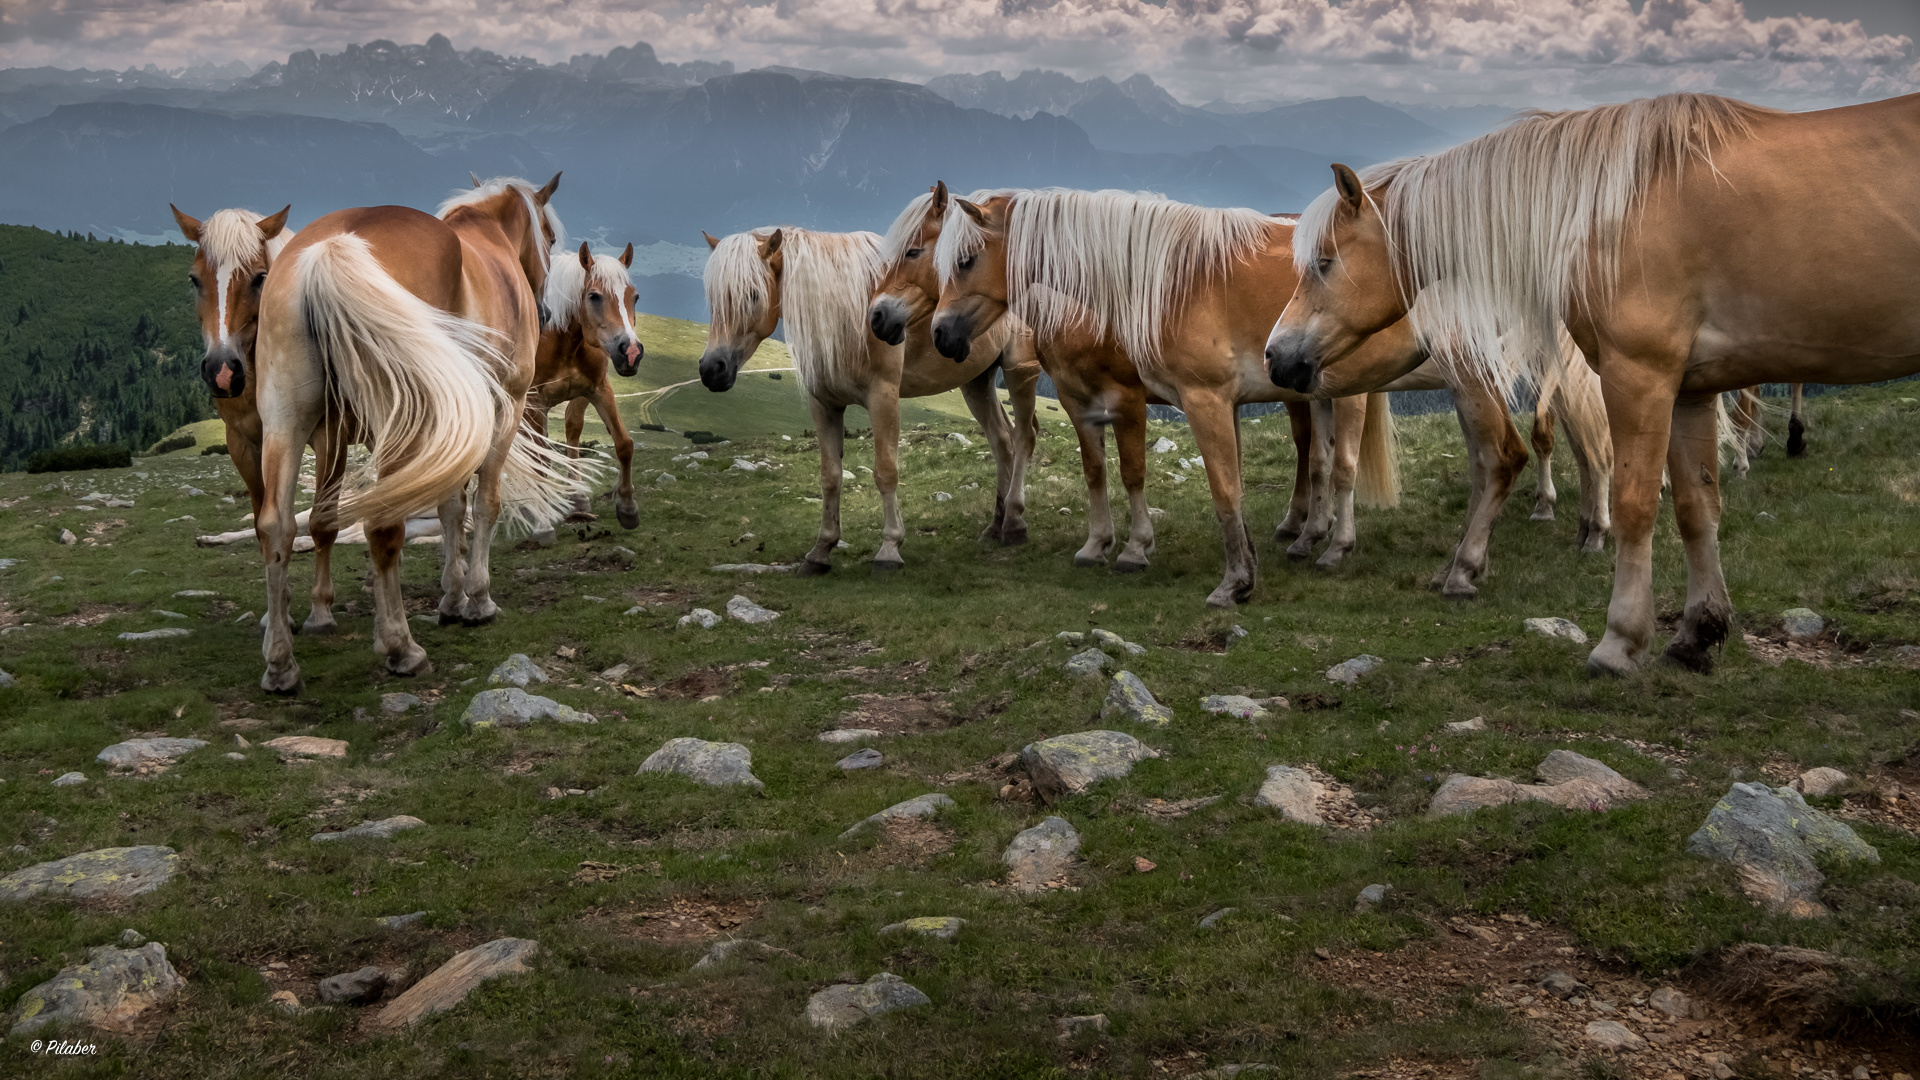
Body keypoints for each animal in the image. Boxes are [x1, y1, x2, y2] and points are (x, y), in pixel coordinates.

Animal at [255, 171, 583, 684]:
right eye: (549, 237)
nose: (547, 313)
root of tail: (331, 248)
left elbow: (451, 506)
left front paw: (452, 595)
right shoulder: (505, 406)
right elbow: (484, 504)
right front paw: (477, 599)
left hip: (288, 422)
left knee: (277, 528)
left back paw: (281, 663)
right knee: (382, 524)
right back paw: (400, 647)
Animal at [529, 239, 648, 534]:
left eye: (635, 297)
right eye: (594, 296)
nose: (631, 352)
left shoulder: (596, 390)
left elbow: (622, 443)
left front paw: (627, 507)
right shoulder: (534, 400)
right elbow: (539, 457)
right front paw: (541, 521)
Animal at [698, 217, 1044, 572]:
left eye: (752, 294)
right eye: (712, 297)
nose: (712, 369)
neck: (849, 313)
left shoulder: (883, 397)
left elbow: (885, 472)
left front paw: (889, 548)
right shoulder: (824, 405)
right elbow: (830, 476)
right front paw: (821, 550)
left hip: (1019, 371)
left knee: (1023, 438)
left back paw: (1015, 523)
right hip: (976, 381)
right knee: (1002, 441)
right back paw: (995, 526)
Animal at [925, 186, 1605, 607]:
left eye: (964, 259)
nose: (941, 334)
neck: (1165, 277)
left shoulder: (1202, 402)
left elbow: (1225, 492)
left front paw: (1236, 582)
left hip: (1477, 377)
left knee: (1508, 459)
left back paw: (1467, 570)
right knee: (1496, 463)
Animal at [1259, 90, 1920, 672]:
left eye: (1323, 262)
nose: (1277, 357)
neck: (1610, 211)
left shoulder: (1639, 375)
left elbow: (1634, 503)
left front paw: (1619, 642)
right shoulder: (1690, 389)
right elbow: (1696, 506)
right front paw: (1698, 633)